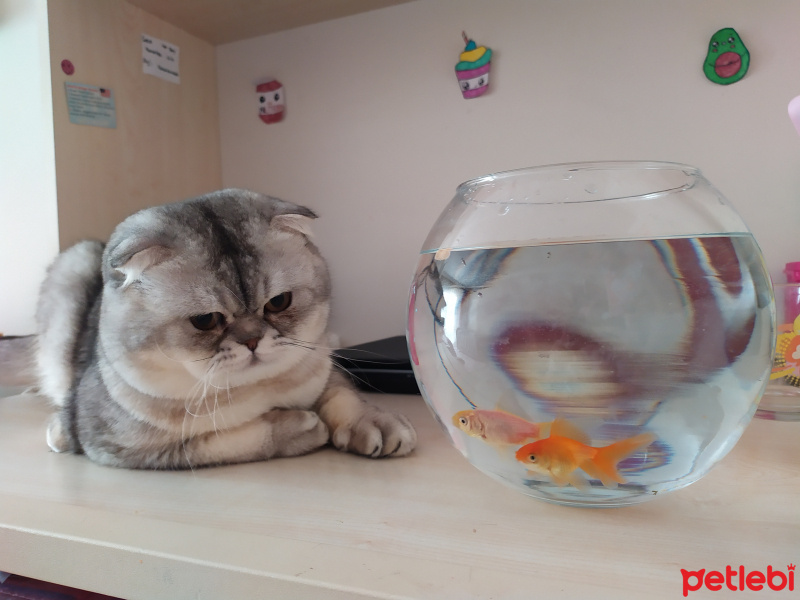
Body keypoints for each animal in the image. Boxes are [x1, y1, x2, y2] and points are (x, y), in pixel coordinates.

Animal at [0, 188, 412, 468]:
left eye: (279, 302)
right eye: (205, 321)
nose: (252, 340)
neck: (259, 389)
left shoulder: (322, 363)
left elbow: (343, 393)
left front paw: (374, 421)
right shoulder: (125, 445)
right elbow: (231, 439)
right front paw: (300, 426)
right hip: (73, 265)